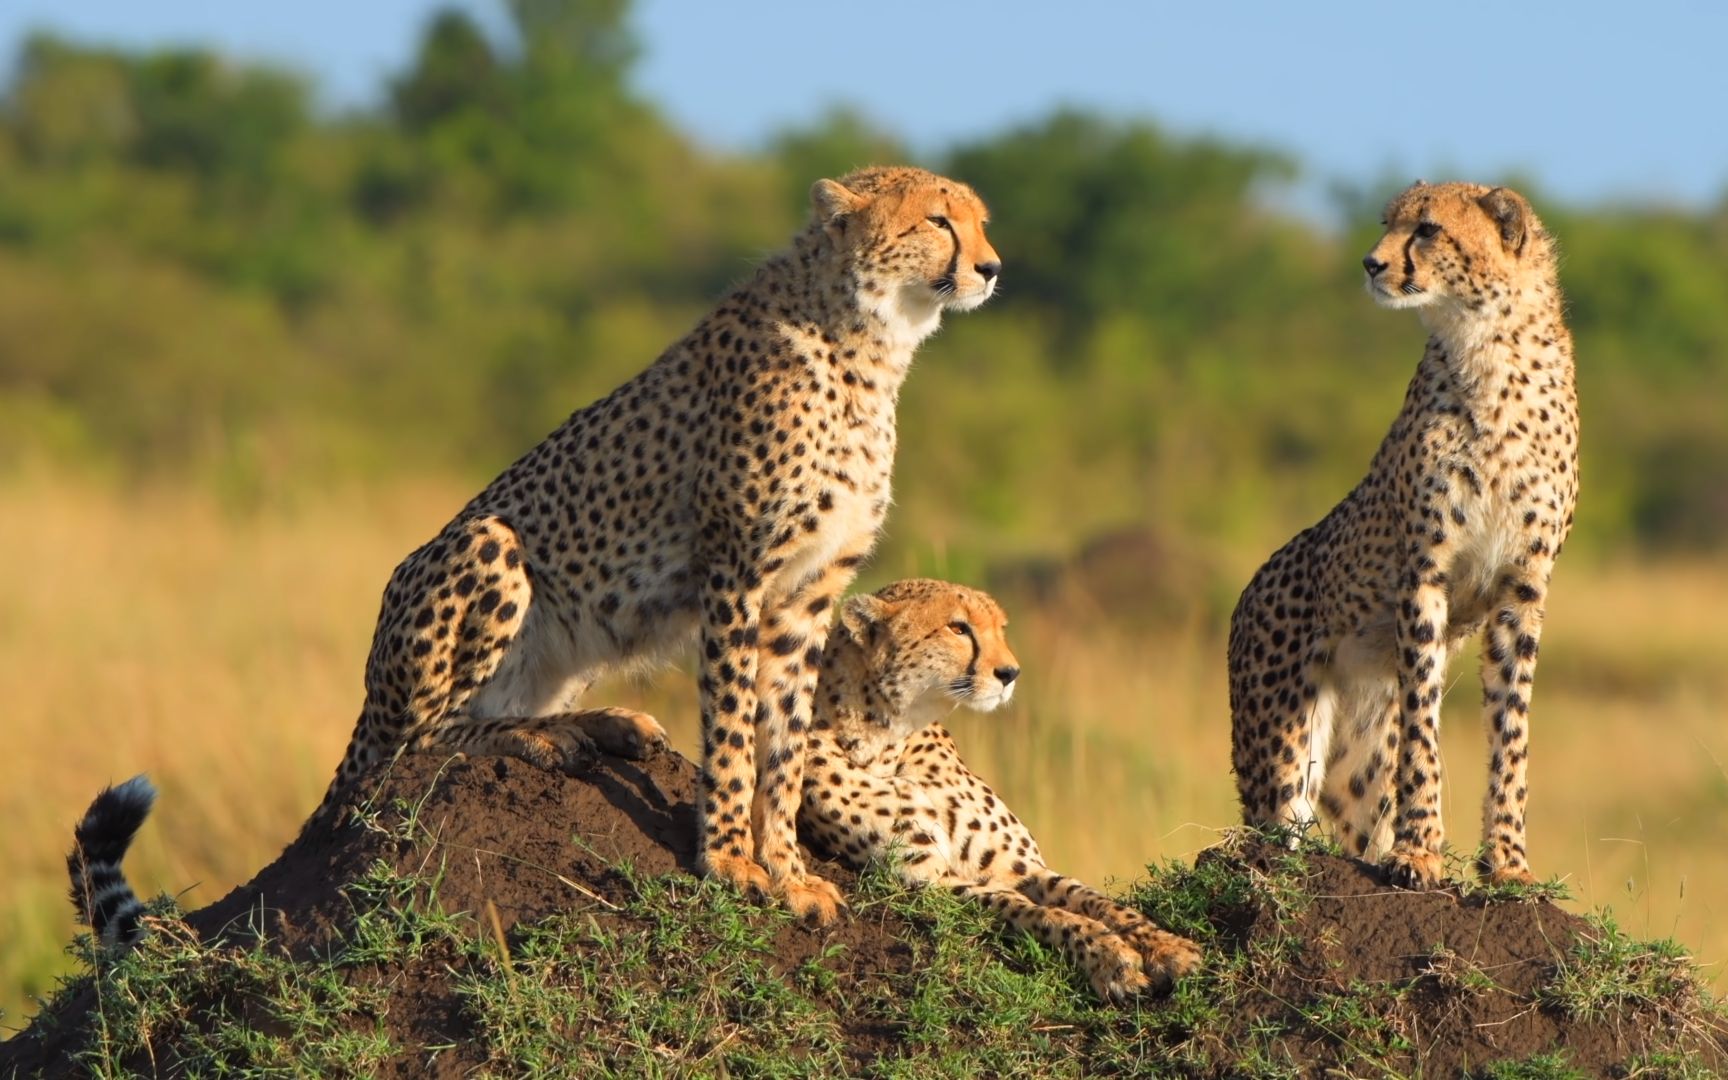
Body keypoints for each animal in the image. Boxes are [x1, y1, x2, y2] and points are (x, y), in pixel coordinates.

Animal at [798, 580, 1195, 1002]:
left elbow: (1094, 900)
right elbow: (1031, 909)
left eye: (1000, 629)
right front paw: (1110, 956)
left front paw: (1167, 946)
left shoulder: (1019, 867)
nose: (1011, 672)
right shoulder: (926, 878)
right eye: (958, 628)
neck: (891, 743)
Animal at [1230, 181, 1582, 884]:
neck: (1488, 345)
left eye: (1427, 229)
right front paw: (1419, 851)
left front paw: (1508, 862)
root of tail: (1249, 591)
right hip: (1281, 755)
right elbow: (1423, 726)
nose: (1370, 263)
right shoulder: (1425, 574)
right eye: (1386, 223)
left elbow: (1512, 731)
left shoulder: (1522, 588)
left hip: (1353, 765)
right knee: (1269, 836)